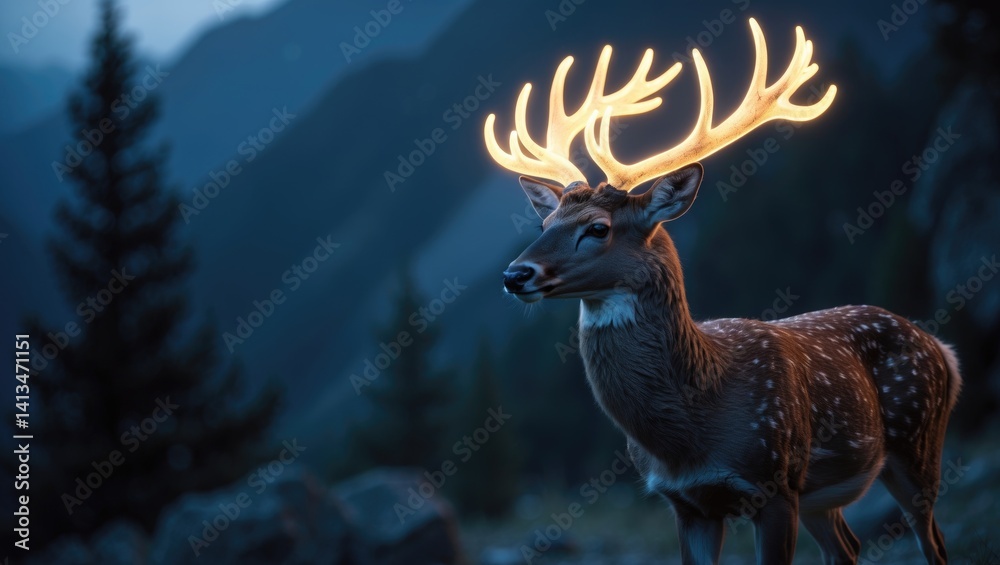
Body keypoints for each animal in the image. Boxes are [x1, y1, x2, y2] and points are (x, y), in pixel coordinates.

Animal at [484, 18, 961, 565]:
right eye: (544, 222)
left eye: (598, 228)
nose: (515, 275)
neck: (693, 430)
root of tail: (942, 349)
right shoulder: (685, 503)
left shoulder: (773, 481)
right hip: (823, 495)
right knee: (849, 546)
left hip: (916, 441)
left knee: (933, 539)